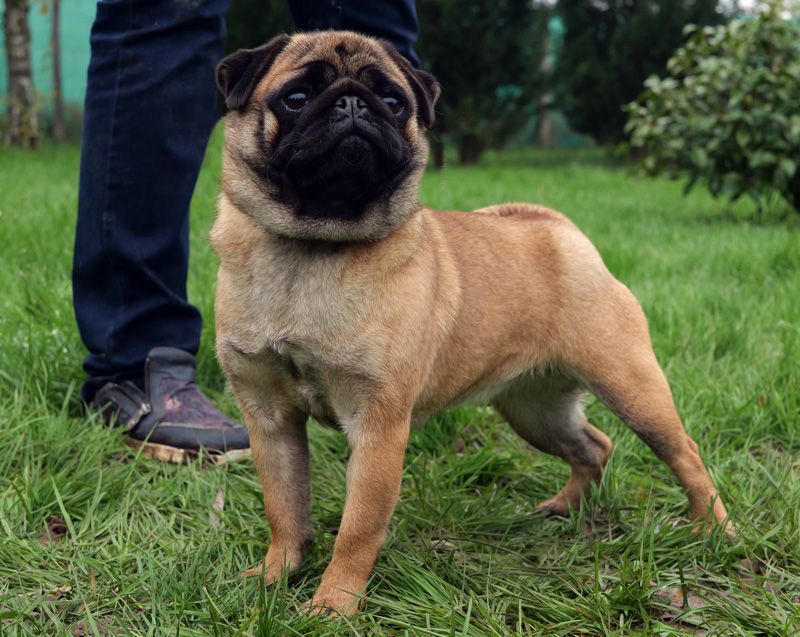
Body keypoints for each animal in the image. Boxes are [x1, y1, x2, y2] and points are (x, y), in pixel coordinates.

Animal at [211, 31, 732, 616]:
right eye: (296, 98)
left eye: (393, 101)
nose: (352, 104)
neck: (311, 248)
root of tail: (561, 233)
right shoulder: (270, 419)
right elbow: (285, 508)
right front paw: (274, 575)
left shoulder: (378, 428)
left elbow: (357, 529)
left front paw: (333, 605)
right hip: (534, 411)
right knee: (594, 447)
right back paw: (564, 509)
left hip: (632, 388)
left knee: (684, 455)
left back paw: (715, 531)